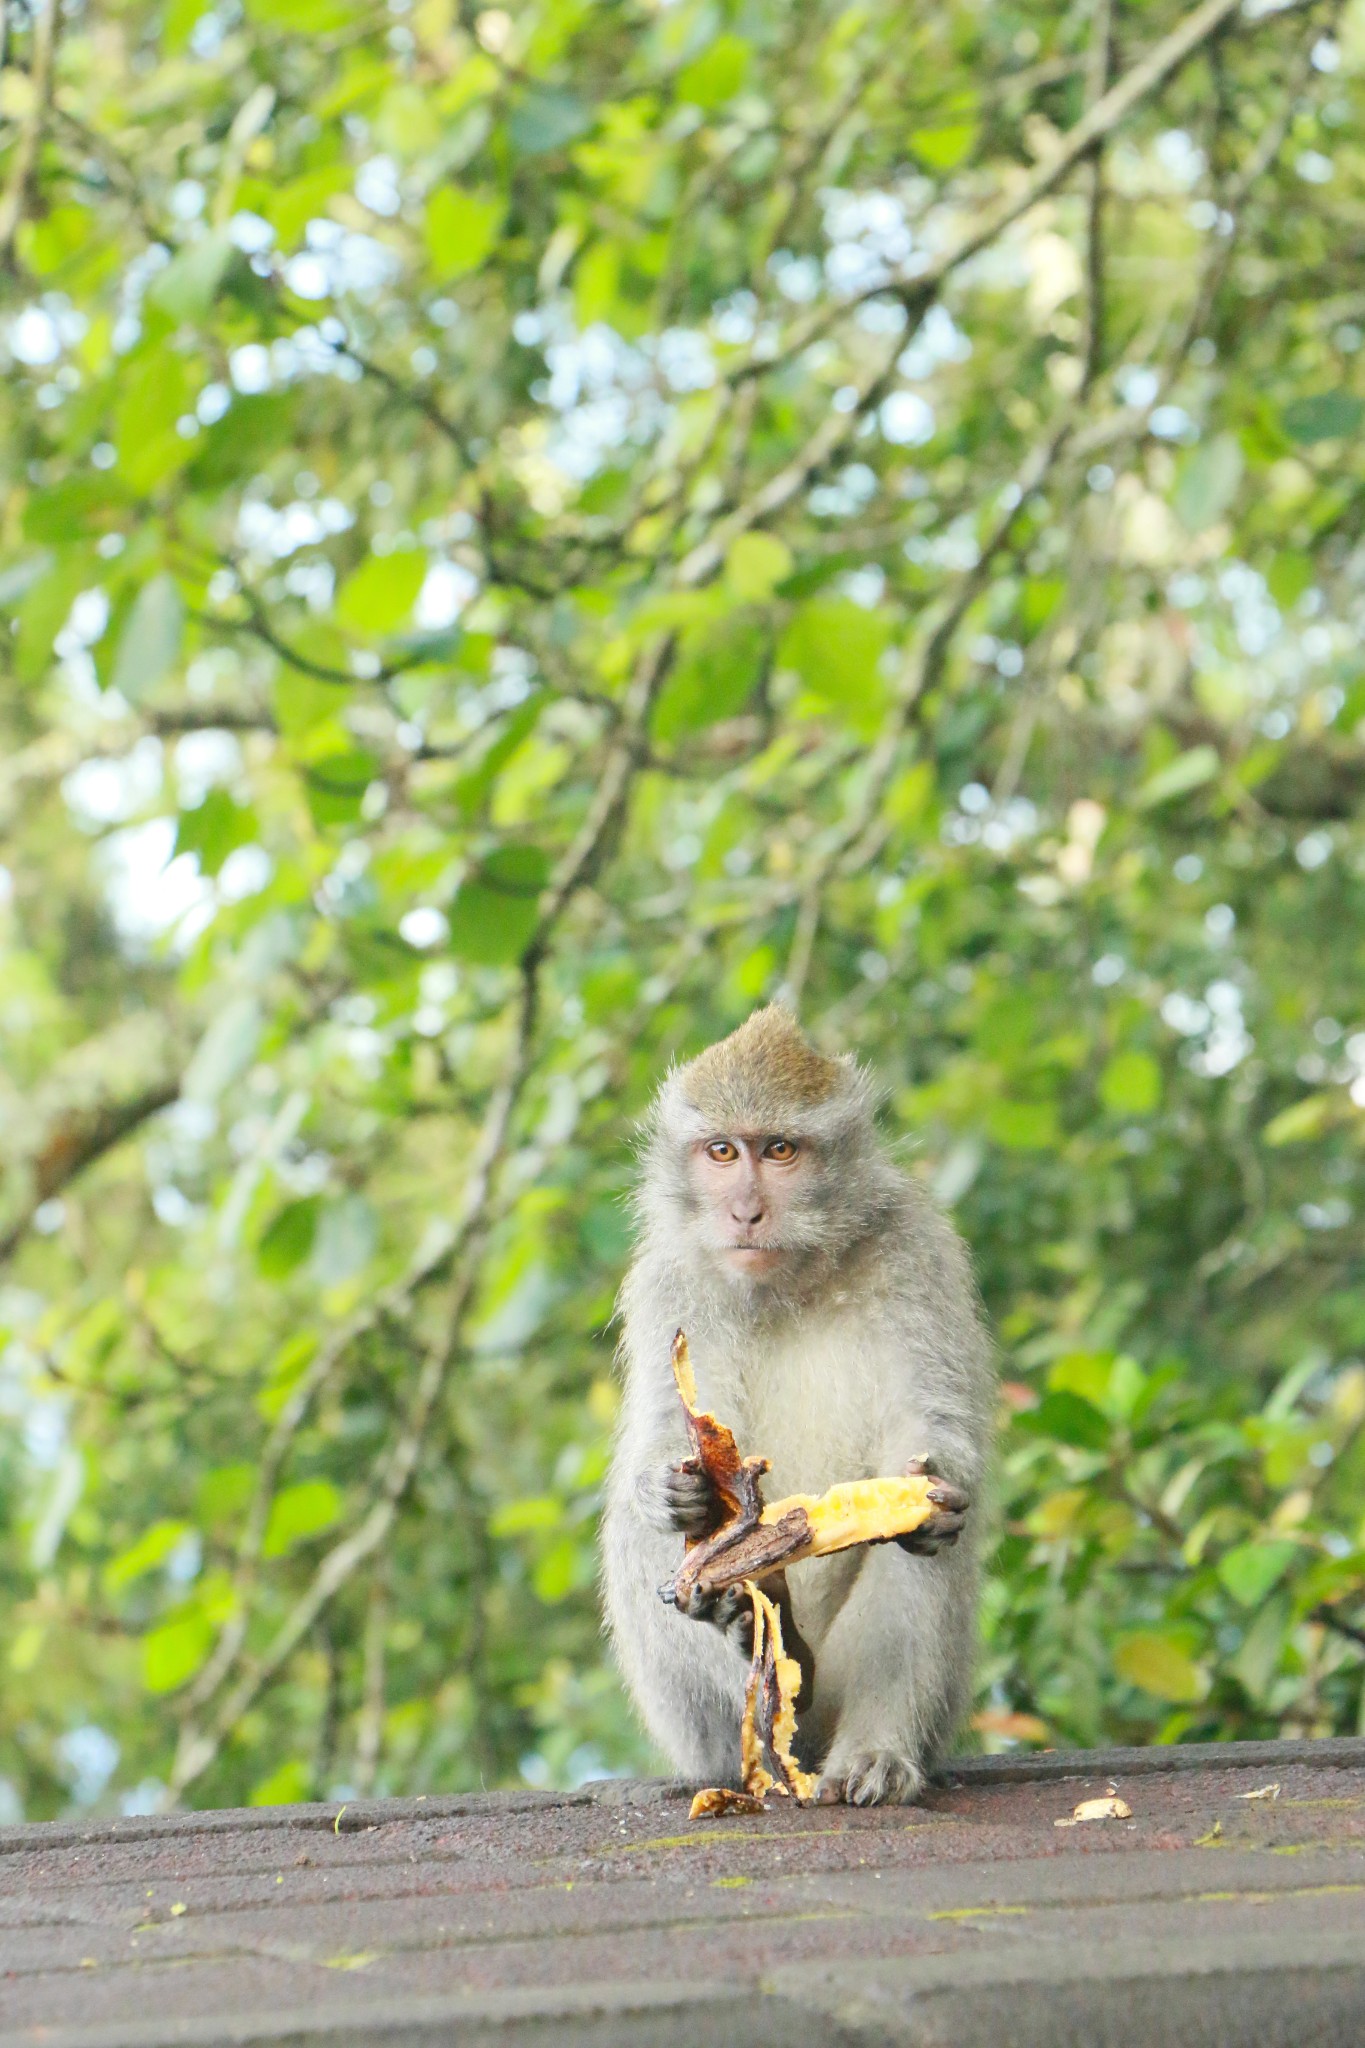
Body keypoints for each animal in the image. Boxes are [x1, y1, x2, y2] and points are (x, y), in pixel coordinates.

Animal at [601, 999, 998, 1802]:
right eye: (722, 1152)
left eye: (779, 1150)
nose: (746, 1212)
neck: (791, 1283)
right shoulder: (669, 1276)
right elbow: (665, 1432)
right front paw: (665, 1490)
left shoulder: (916, 1249)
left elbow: (933, 1418)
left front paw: (937, 1486)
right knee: (641, 1539)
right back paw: (739, 1632)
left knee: (923, 1554)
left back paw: (874, 1753)